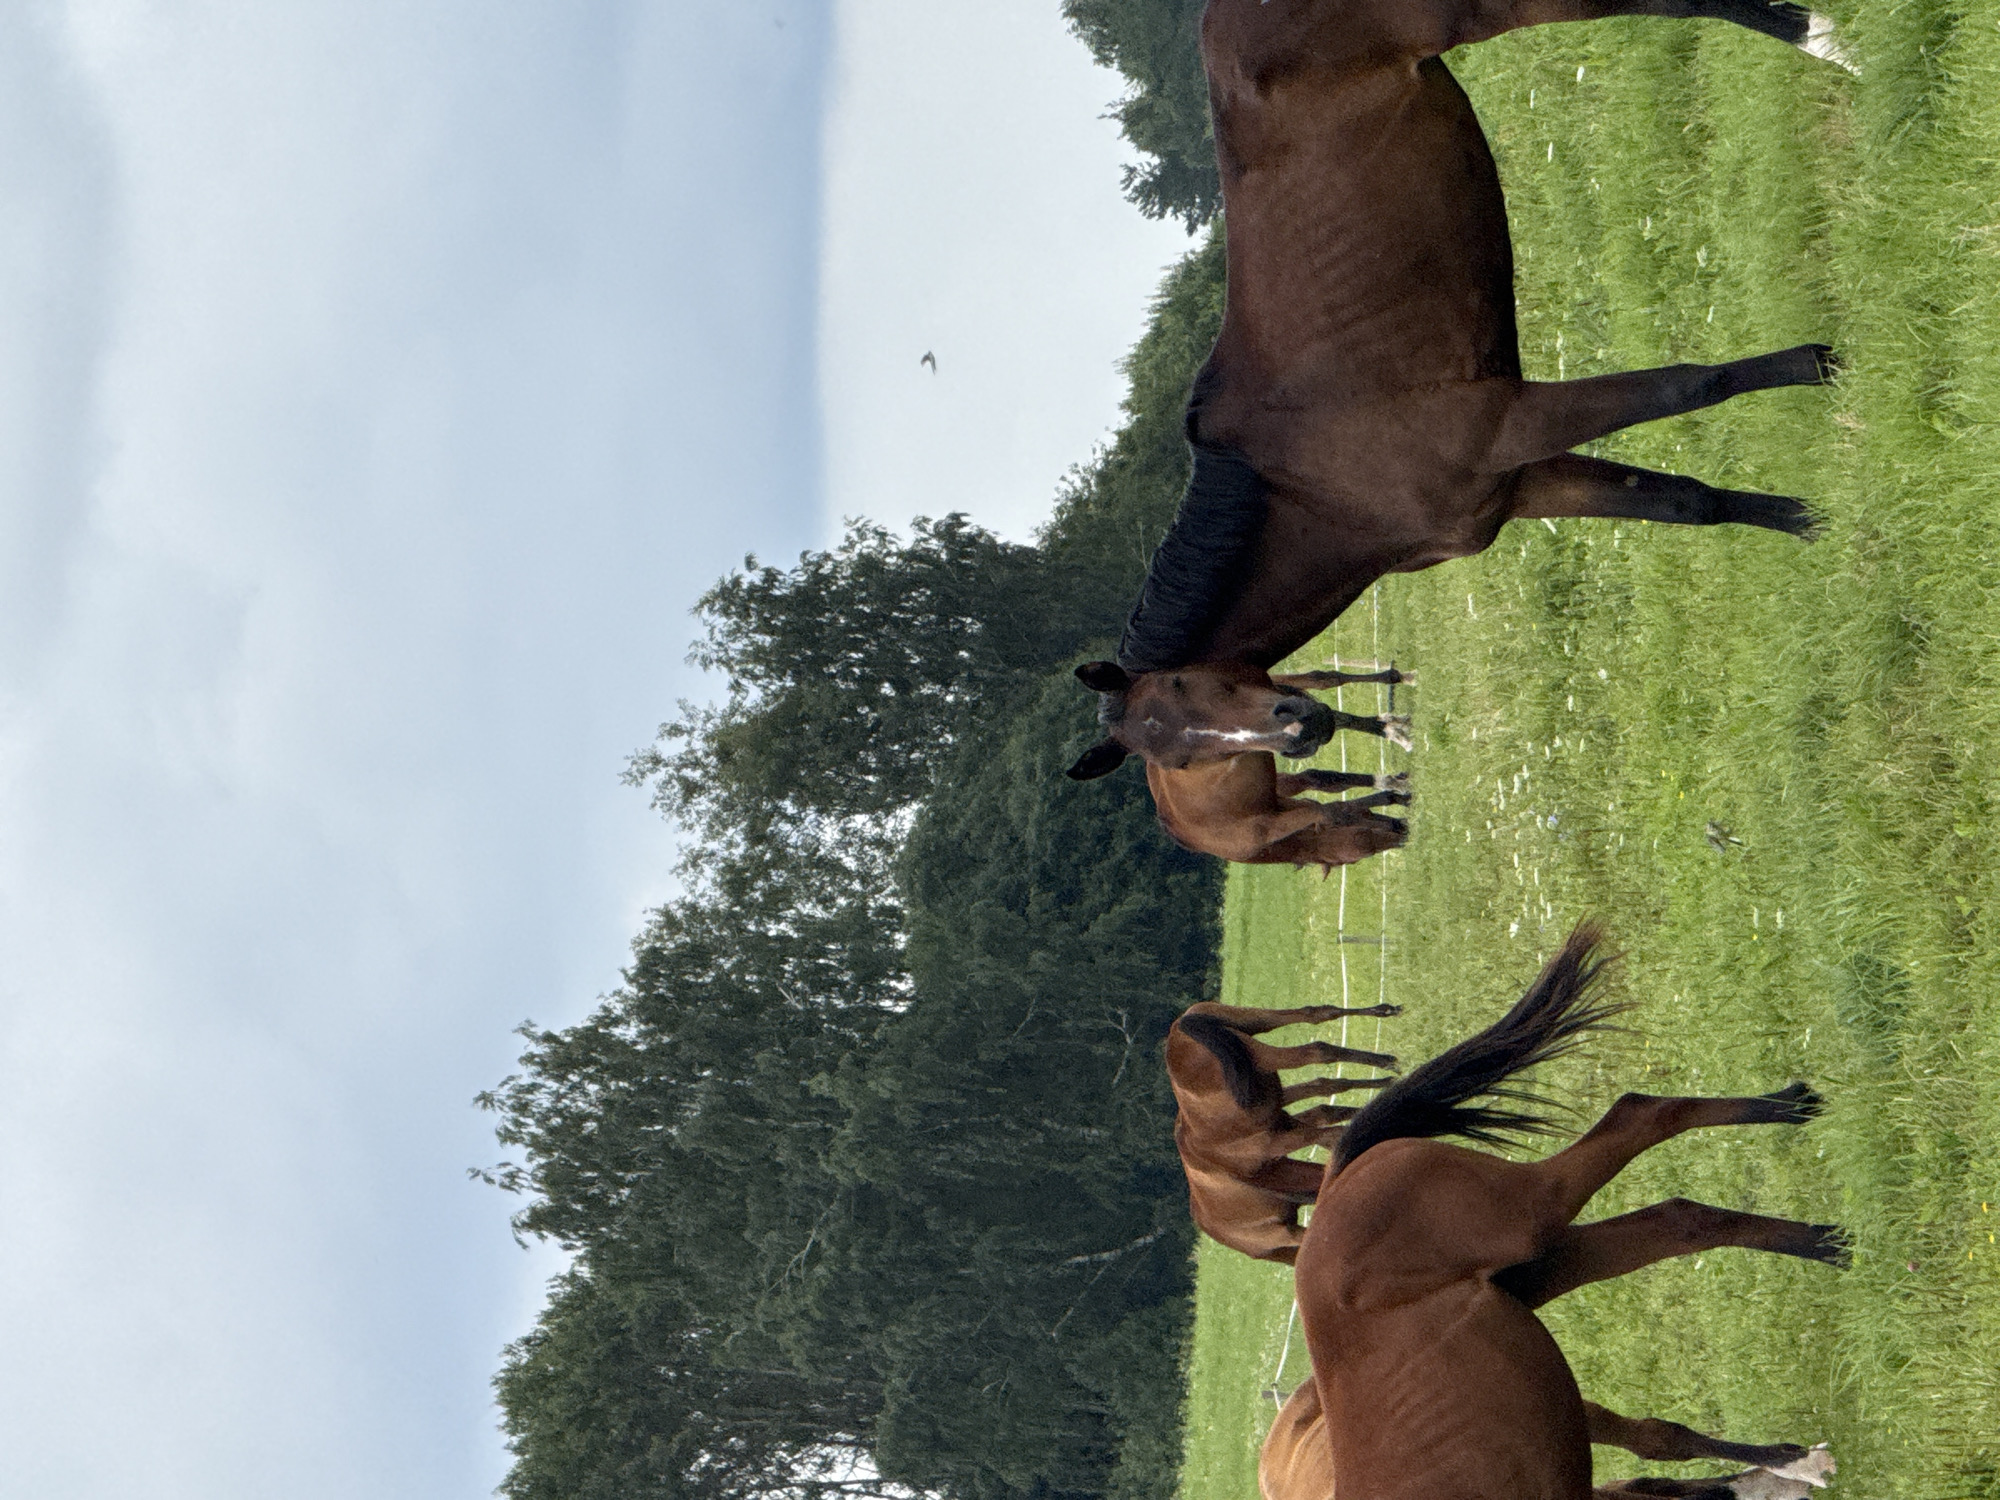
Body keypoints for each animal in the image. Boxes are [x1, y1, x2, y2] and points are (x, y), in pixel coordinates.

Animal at [1065, 0, 1851, 786]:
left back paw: (1825, 41)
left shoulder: (1511, 417)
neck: (1314, 484)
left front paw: (1828, 366)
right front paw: (1809, 520)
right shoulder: (1513, 484)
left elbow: (1694, 383)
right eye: (1183, 755)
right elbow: (1687, 502)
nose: (1299, 726)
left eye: (1188, 685)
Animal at [1293, 922, 1847, 1500]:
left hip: (1532, 1213)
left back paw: (1800, 1140)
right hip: (1546, 1265)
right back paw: (1824, 1236)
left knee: (1639, 1115)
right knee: (1679, 1219)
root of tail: (1334, 1187)